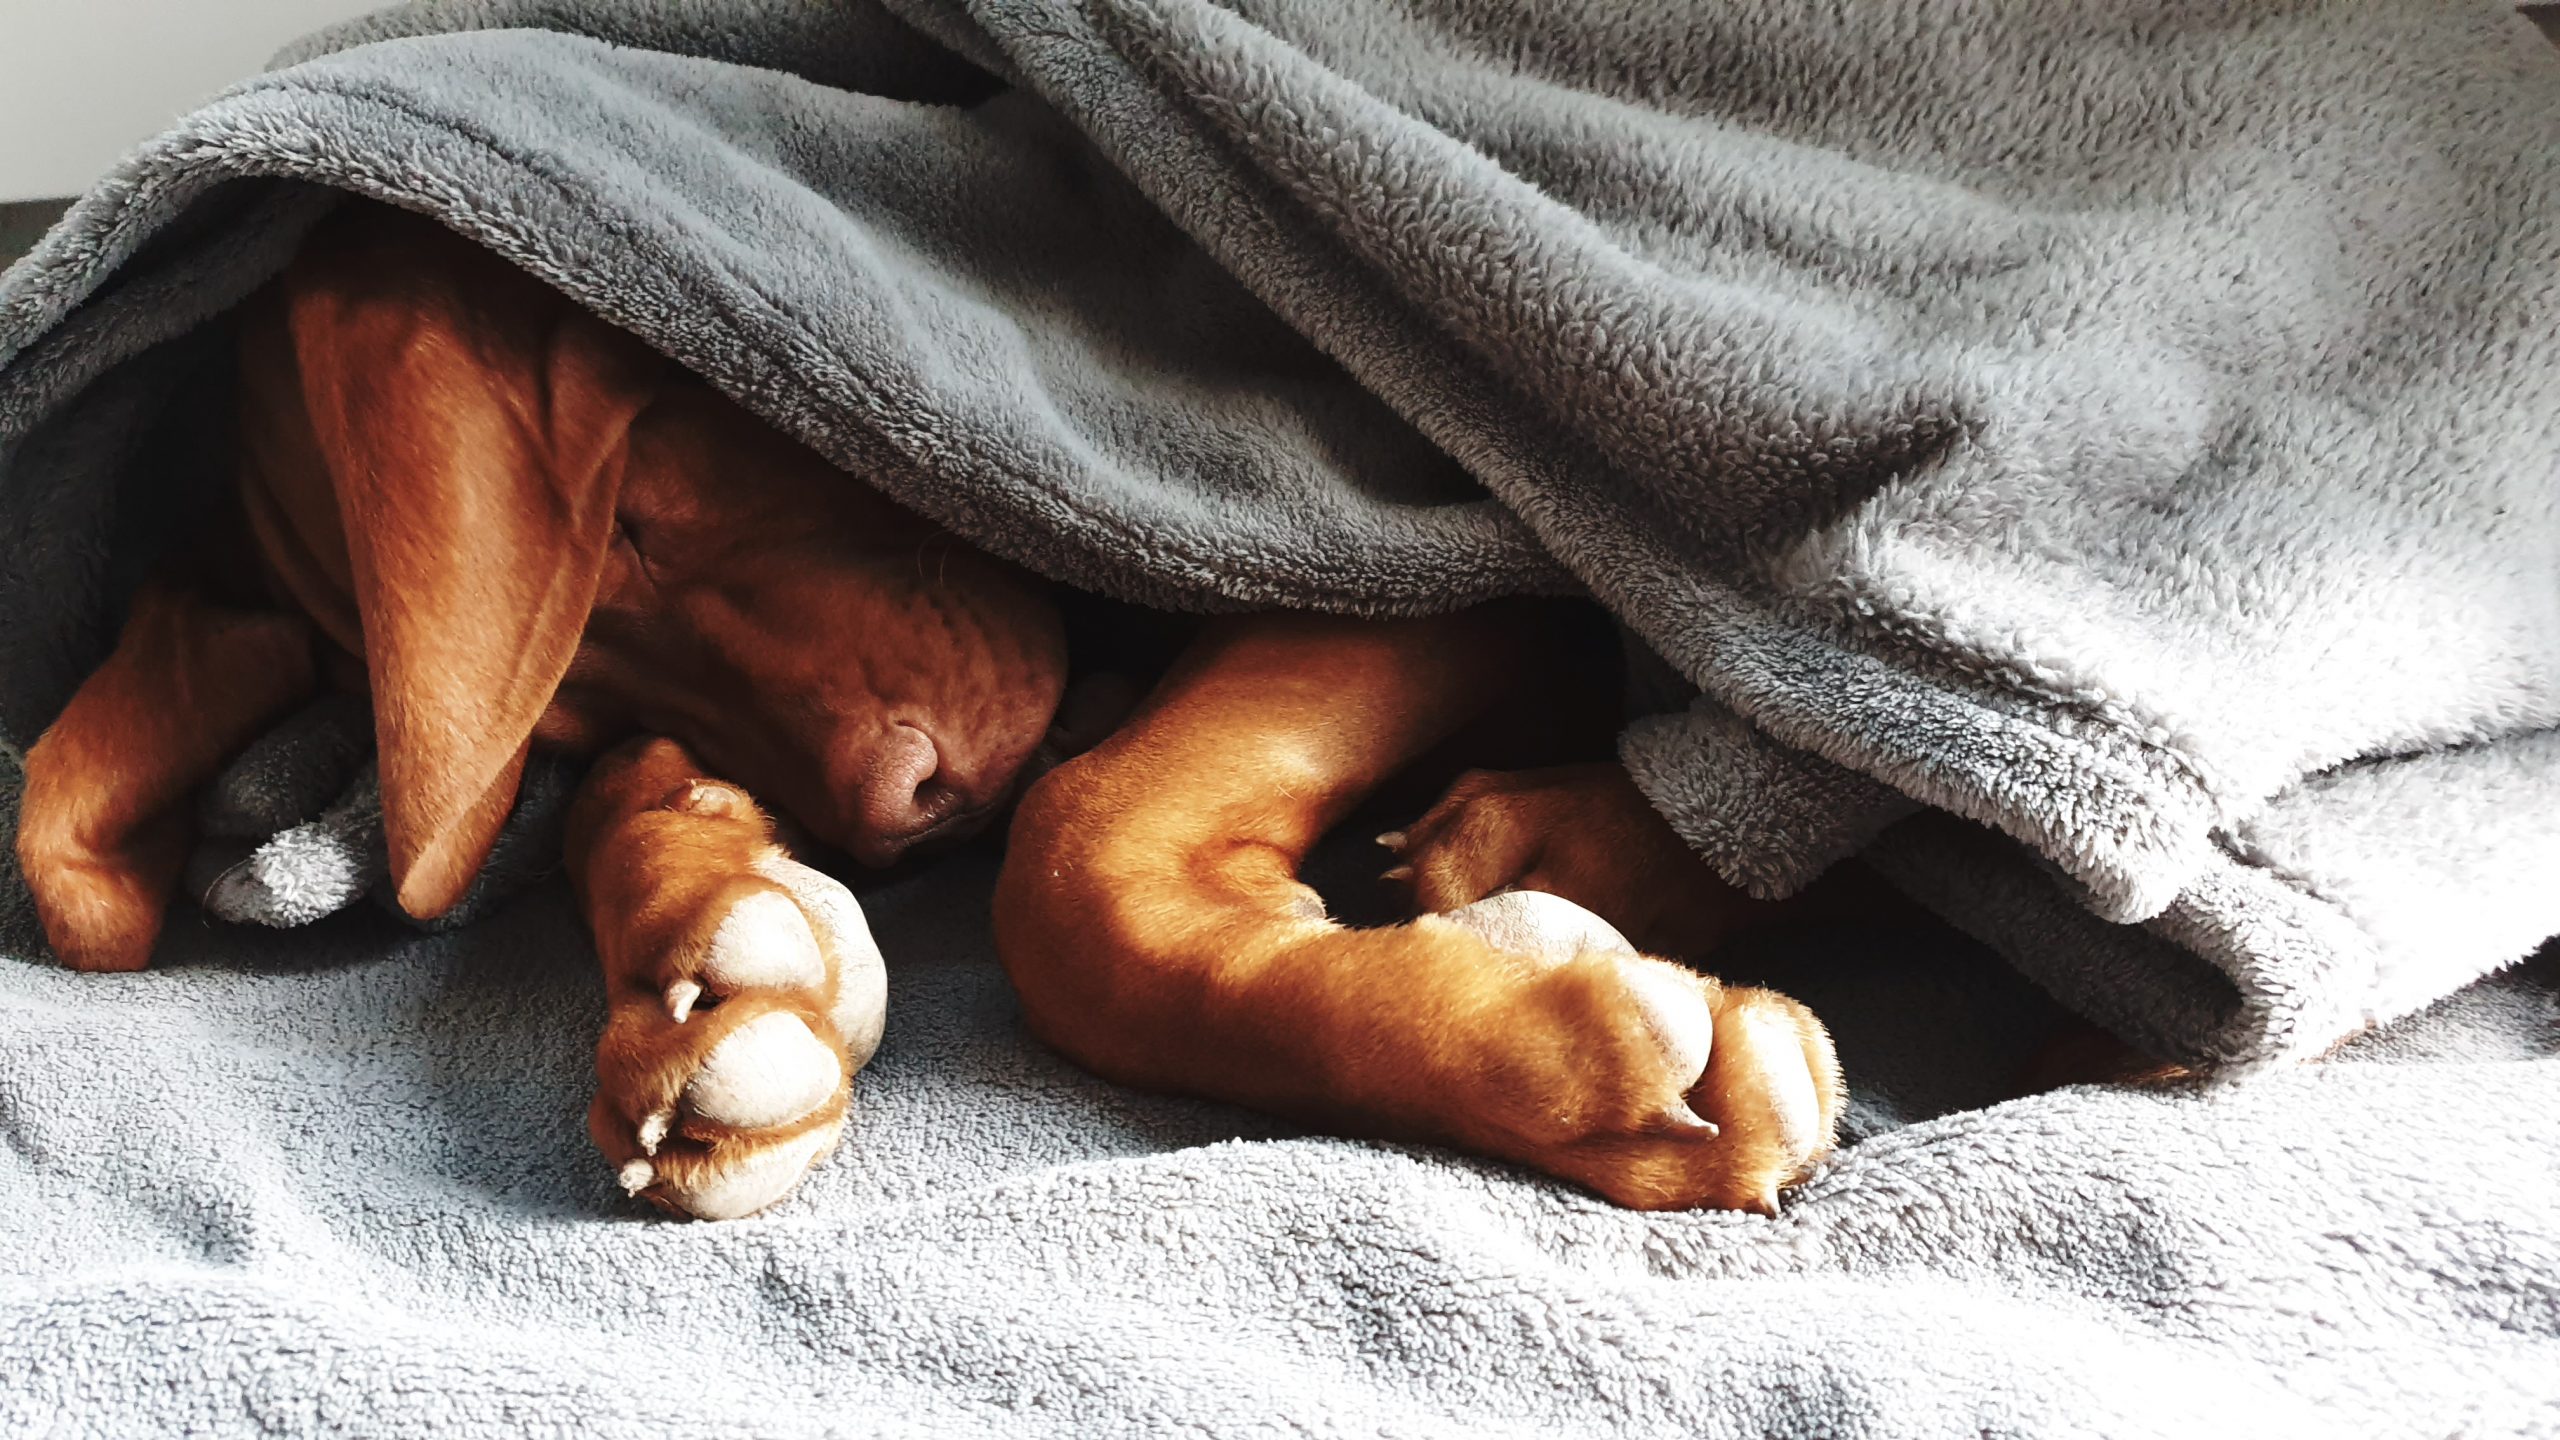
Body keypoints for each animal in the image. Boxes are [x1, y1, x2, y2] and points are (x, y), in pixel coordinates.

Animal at [14, 202, 1842, 1219]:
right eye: (565, 711)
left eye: (650, 491)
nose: (909, 810)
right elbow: (632, 816)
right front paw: (706, 940)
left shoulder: (1415, 545)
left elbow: (1078, 862)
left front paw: (1578, 1068)